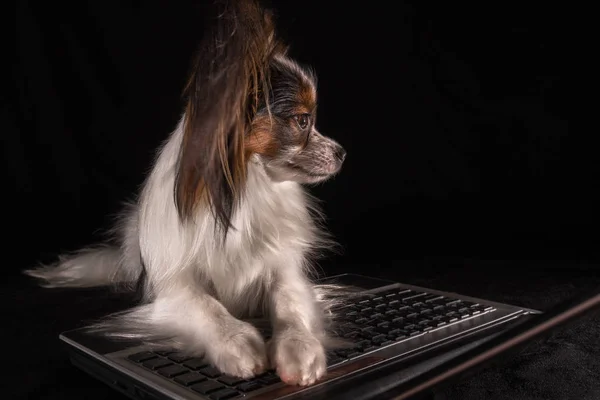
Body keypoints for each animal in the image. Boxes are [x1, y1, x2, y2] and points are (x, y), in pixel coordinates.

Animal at [25, 0, 350, 388]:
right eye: (303, 121)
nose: (343, 153)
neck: (247, 191)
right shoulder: (173, 285)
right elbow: (208, 306)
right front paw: (237, 342)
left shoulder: (283, 270)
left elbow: (289, 303)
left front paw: (300, 348)